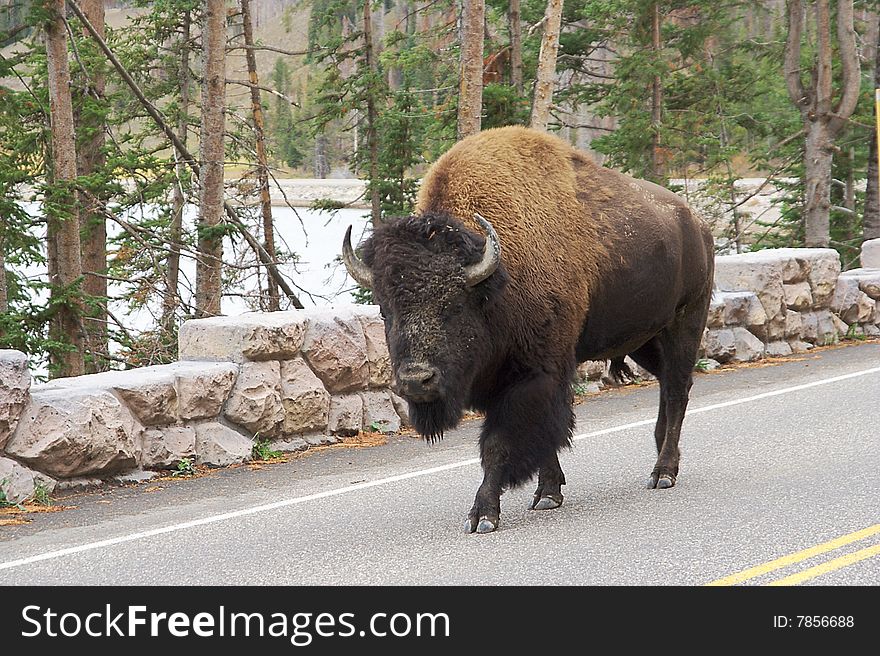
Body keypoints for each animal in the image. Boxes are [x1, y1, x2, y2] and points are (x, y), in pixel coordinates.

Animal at [342, 124, 716, 532]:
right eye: (384, 310)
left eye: (453, 306)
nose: (416, 381)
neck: (496, 281)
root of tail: (697, 224)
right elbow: (542, 438)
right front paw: (548, 493)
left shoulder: (533, 375)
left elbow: (502, 442)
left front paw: (484, 514)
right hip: (644, 339)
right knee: (666, 386)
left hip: (685, 323)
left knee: (677, 389)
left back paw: (662, 472)